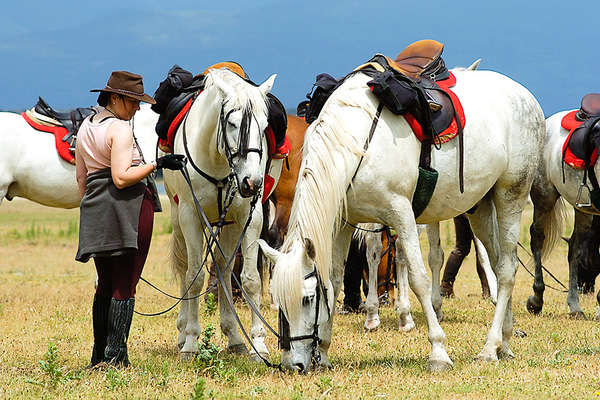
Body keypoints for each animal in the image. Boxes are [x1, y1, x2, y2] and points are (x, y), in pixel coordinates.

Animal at [161, 68, 280, 360]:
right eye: (233, 124)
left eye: (264, 126)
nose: (252, 182)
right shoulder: (190, 216)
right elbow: (194, 277)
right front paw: (191, 342)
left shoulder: (250, 218)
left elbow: (250, 280)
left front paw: (258, 343)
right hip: (178, 218)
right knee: (186, 269)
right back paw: (182, 332)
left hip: (228, 226)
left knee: (224, 270)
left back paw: (235, 337)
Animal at [258, 66, 544, 372]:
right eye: (278, 300)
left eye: (307, 299)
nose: (294, 365)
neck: (356, 142)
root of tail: (525, 96)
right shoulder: (343, 222)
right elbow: (334, 280)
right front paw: (322, 351)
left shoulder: (402, 214)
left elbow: (419, 278)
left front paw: (438, 352)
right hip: (480, 206)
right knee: (498, 260)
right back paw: (506, 341)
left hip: (511, 195)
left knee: (506, 270)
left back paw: (490, 347)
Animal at [528, 108, 600, 318]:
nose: (585, 287)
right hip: (544, 197)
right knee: (537, 237)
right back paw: (537, 299)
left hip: (582, 208)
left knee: (574, 247)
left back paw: (574, 305)